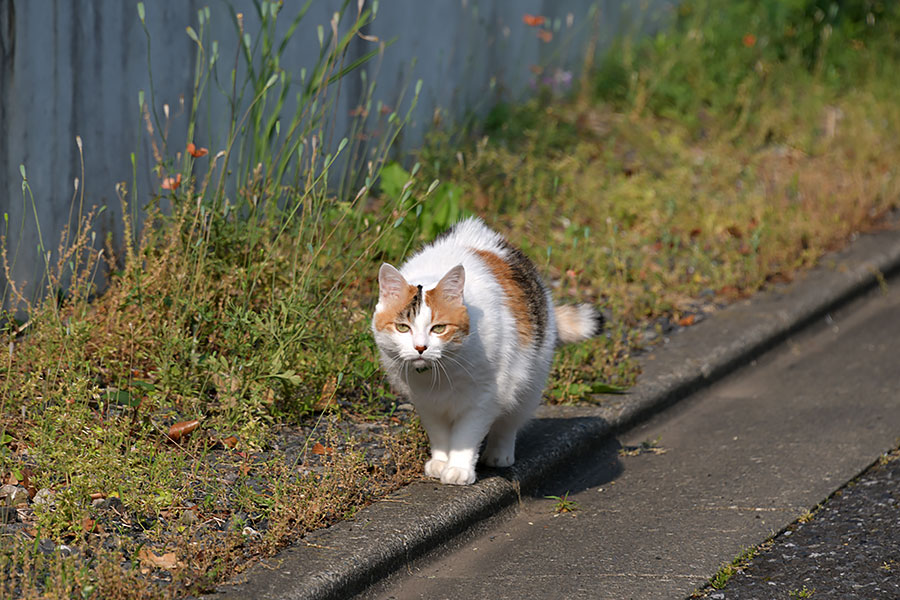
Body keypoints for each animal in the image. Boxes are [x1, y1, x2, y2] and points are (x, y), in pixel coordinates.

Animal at [372, 218, 604, 486]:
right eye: (403, 327)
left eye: (439, 328)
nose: (420, 347)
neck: (440, 375)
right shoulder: (425, 401)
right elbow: (438, 433)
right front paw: (440, 462)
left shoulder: (485, 396)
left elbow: (466, 435)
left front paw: (458, 469)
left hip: (528, 382)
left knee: (509, 422)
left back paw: (499, 454)